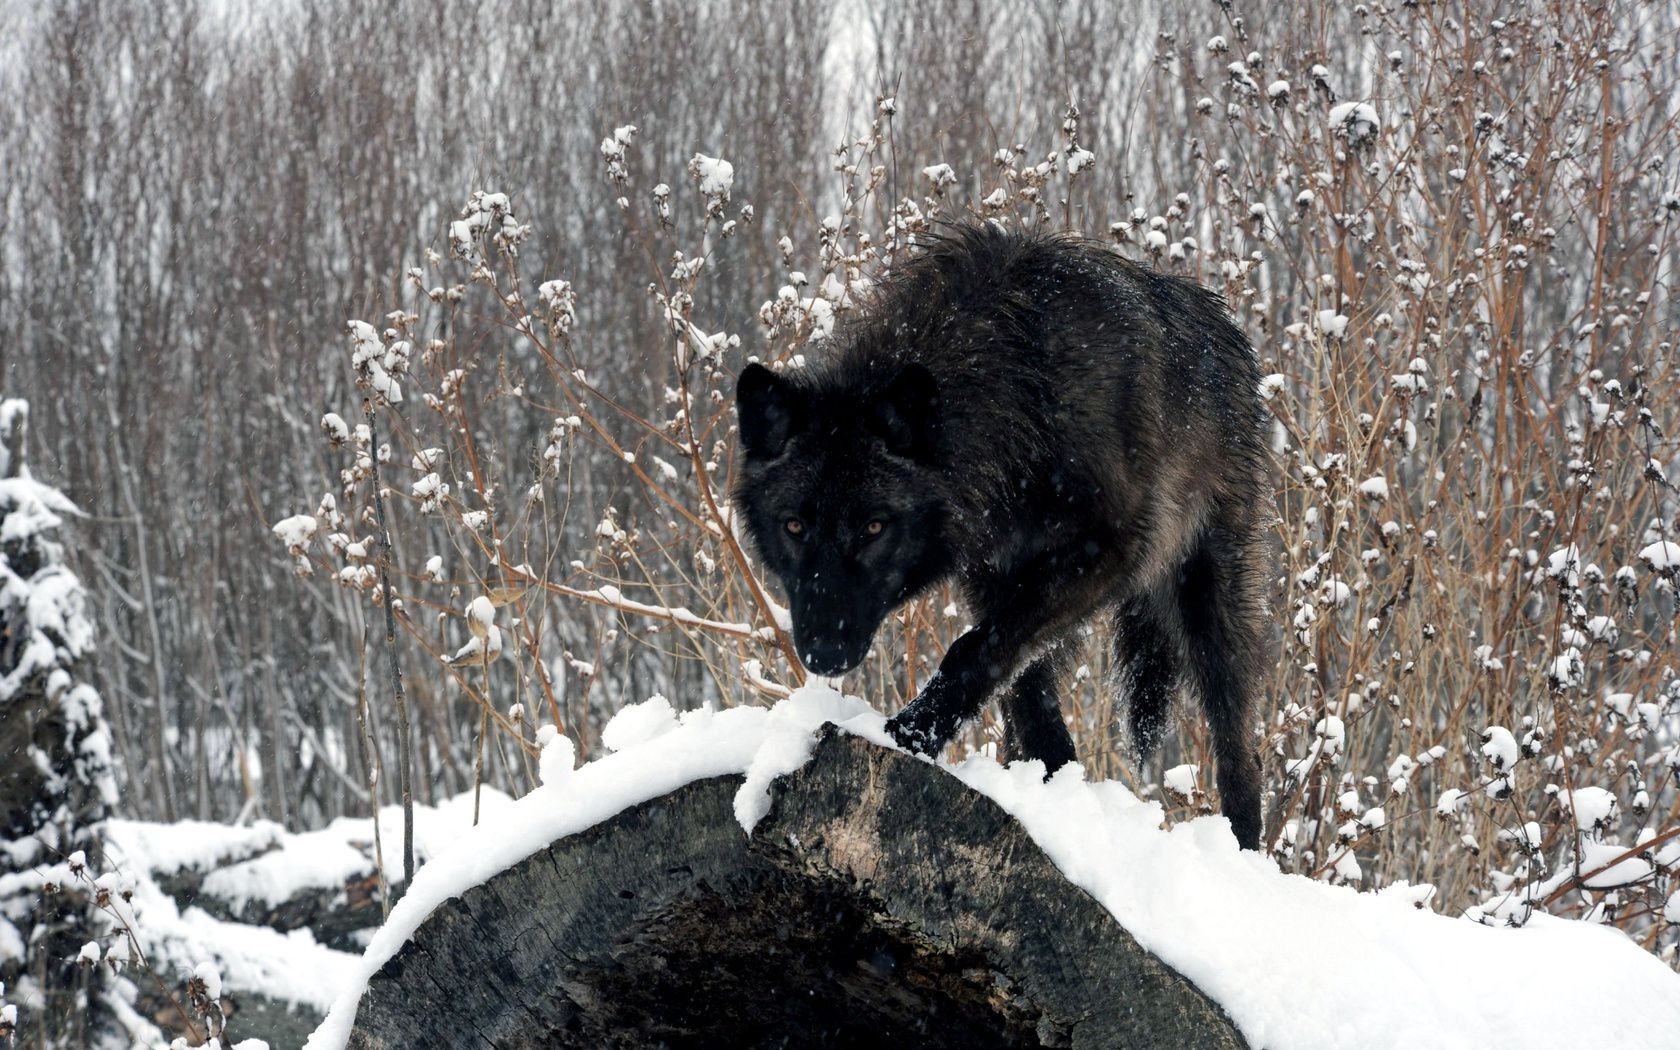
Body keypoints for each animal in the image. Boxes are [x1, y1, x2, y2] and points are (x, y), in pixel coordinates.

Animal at [729, 223, 1263, 853]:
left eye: (874, 527)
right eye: (794, 526)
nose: (825, 653)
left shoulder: (1108, 554)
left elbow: (973, 651)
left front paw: (910, 733)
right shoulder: (994, 579)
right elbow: (1022, 693)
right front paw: (1052, 798)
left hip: (1206, 601)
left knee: (1238, 739)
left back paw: (1243, 852)